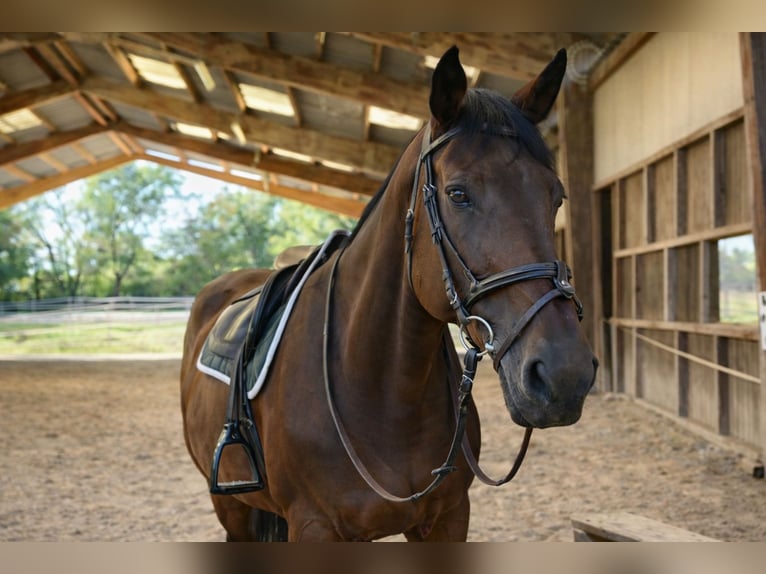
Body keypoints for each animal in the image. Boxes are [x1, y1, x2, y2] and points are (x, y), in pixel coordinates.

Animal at [180, 45, 598, 542]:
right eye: (458, 194)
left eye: (556, 197)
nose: (565, 375)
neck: (382, 388)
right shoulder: (315, 527)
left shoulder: (448, 518)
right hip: (232, 509)